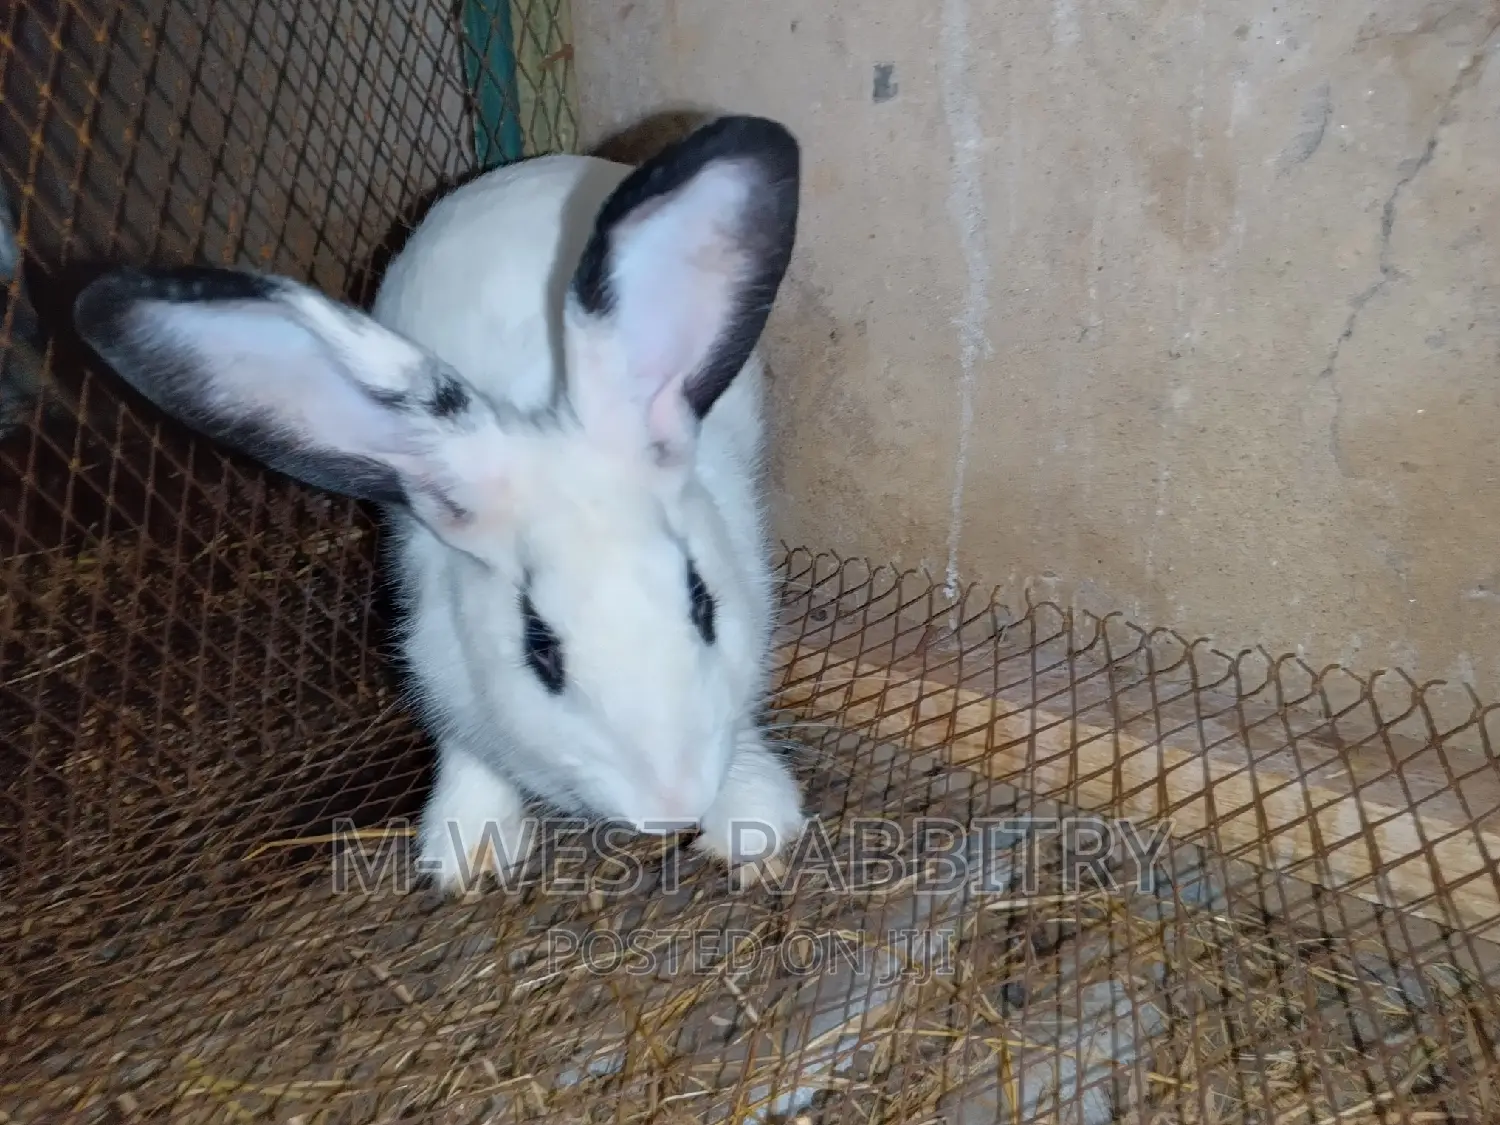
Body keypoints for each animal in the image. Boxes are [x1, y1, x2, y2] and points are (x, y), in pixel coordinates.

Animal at [70, 114, 808, 894]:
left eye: (702, 604)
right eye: (539, 650)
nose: (671, 805)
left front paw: (754, 828)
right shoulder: (441, 674)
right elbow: (469, 751)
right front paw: (469, 852)